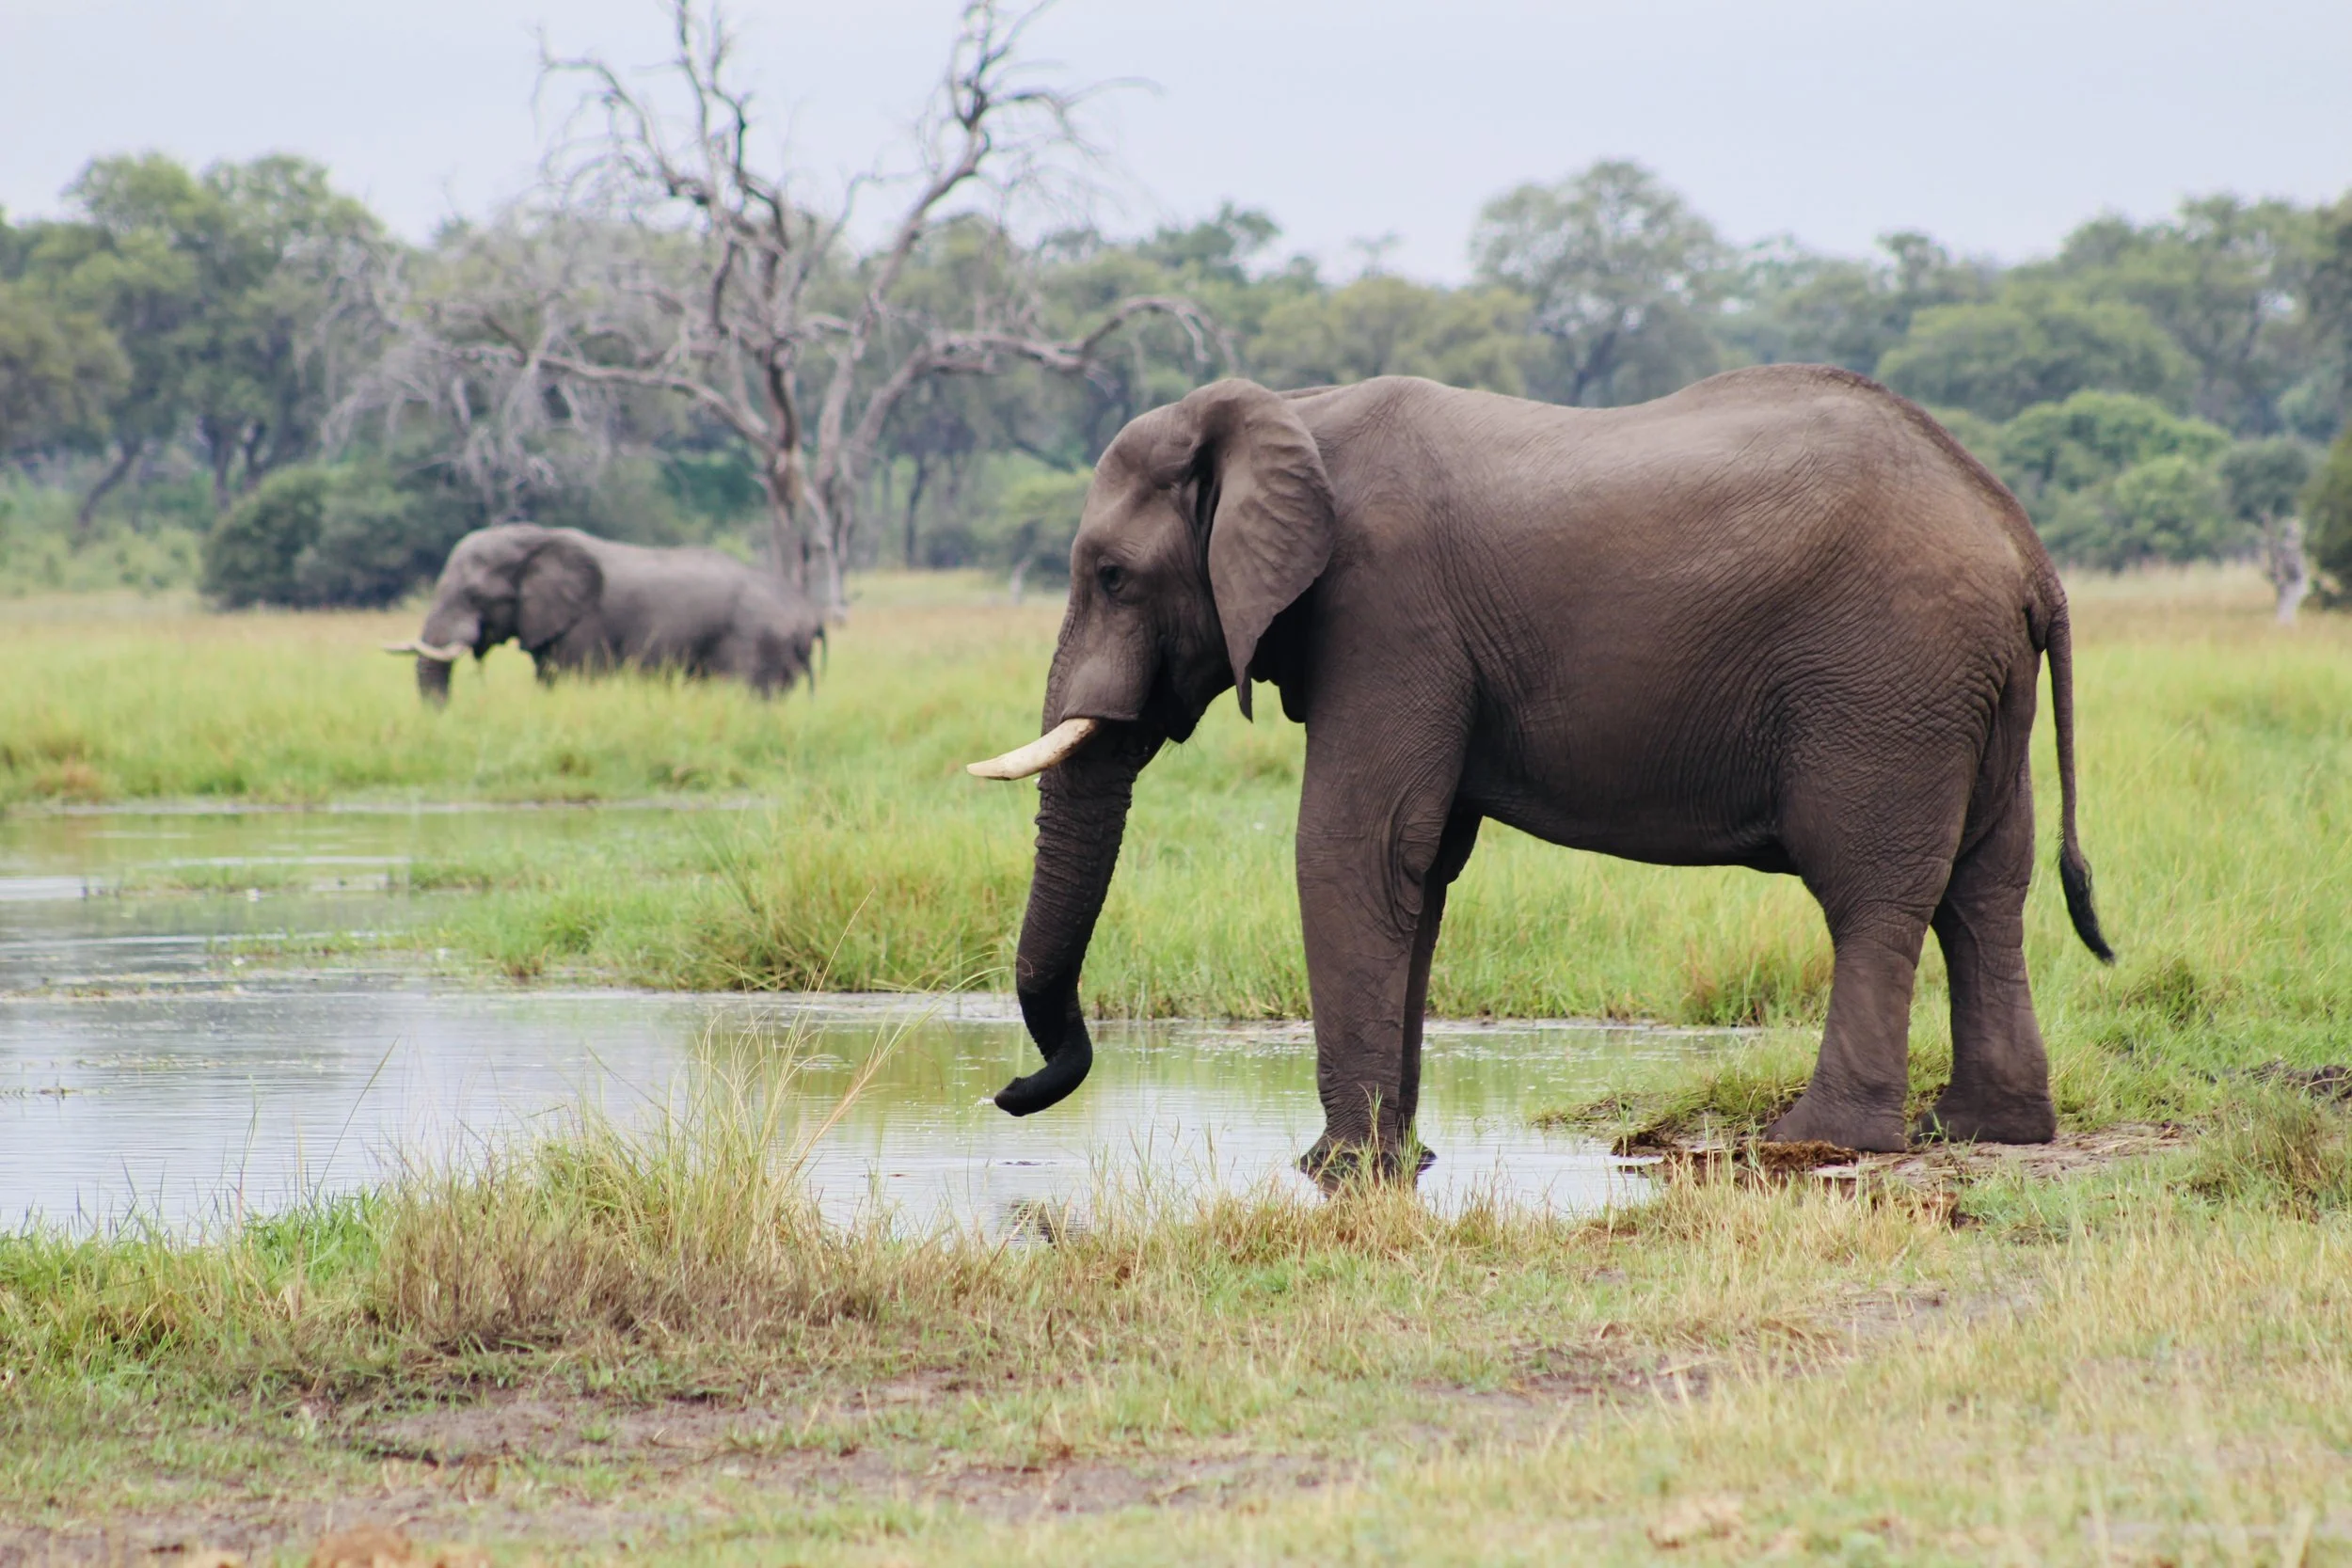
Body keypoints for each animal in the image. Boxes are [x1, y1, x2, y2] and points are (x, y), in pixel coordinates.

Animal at [383, 524, 825, 703]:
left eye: (475, 595)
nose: (442, 717)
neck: (534, 537)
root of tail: (807, 615)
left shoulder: (584, 624)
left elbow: (569, 679)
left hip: (757, 641)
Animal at [967, 366, 2114, 1178]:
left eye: (1113, 575)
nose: (1010, 1092)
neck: (1293, 410)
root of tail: (2023, 545)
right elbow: (1421, 867)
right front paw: (1405, 1161)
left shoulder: (1389, 614)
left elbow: (1355, 846)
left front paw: (1336, 1170)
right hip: (1966, 692)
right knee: (1984, 888)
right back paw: (1984, 1129)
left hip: (1884, 682)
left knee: (1873, 893)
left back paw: (1816, 1140)